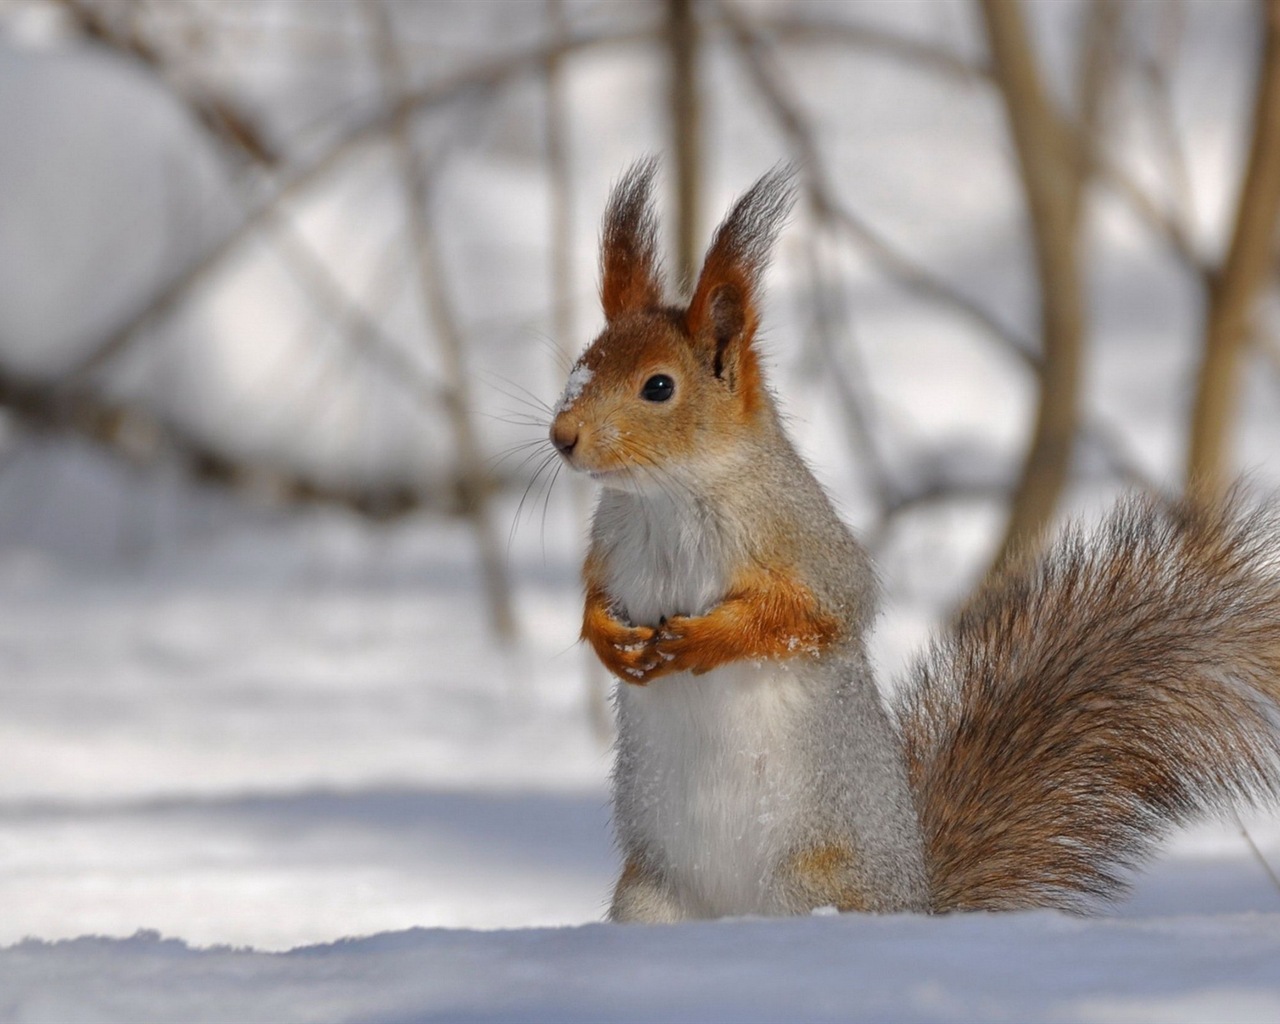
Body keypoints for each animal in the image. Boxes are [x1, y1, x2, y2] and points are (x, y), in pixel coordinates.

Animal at [547, 160, 1280, 921]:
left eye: (659, 387)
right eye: (580, 365)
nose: (562, 436)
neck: (664, 496)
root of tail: (918, 902)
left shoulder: (807, 544)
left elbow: (814, 615)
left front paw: (701, 640)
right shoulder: (609, 543)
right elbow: (594, 596)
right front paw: (609, 639)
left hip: (807, 885)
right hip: (650, 895)